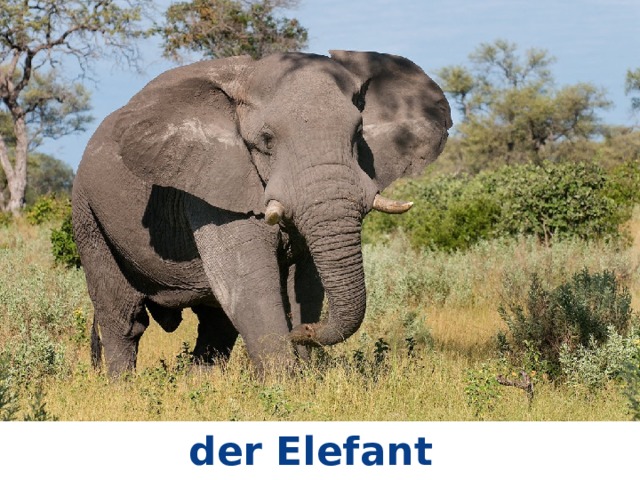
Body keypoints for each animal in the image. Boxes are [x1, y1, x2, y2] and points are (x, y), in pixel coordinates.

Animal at [72, 50, 452, 376]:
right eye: (266, 140)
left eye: (358, 133)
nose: (304, 332)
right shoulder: (212, 184)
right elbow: (249, 282)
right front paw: (284, 387)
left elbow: (307, 281)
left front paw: (304, 372)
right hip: (88, 216)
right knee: (123, 317)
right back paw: (124, 390)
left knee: (215, 324)